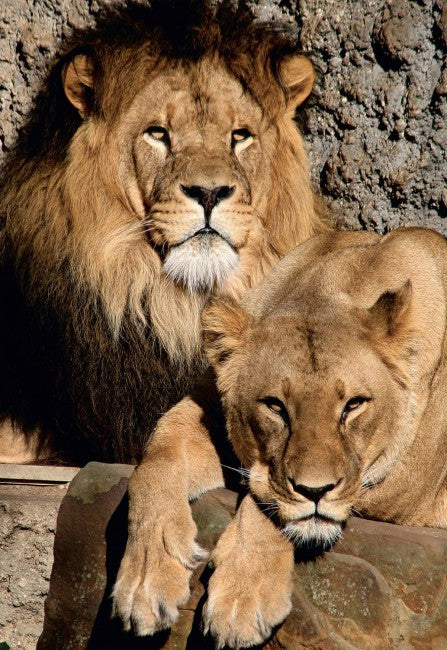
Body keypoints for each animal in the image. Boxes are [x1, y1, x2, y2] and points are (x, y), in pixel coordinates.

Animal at [113, 226, 447, 648]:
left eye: (354, 405)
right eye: (275, 406)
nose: (315, 491)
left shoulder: (399, 491)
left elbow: (267, 504)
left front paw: (242, 597)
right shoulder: (202, 407)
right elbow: (154, 465)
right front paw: (145, 583)